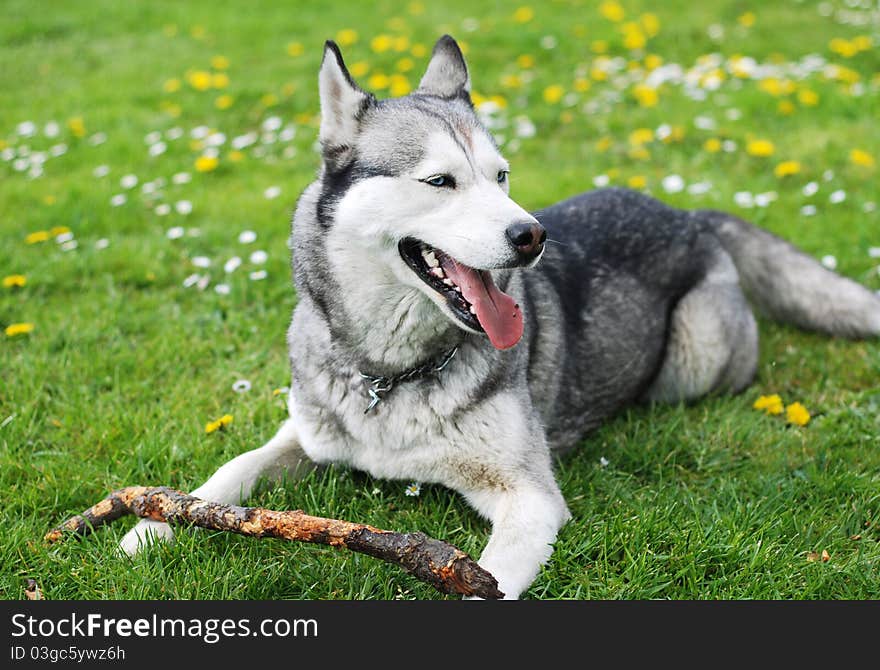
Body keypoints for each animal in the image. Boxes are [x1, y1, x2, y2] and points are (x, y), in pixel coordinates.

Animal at [122, 36, 880, 600]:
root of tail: (688, 212)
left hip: (694, 363)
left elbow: (487, 577)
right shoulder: (303, 432)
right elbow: (231, 471)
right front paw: (150, 524)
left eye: (502, 176)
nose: (532, 235)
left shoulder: (529, 497)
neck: (390, 375)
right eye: (440, 181)